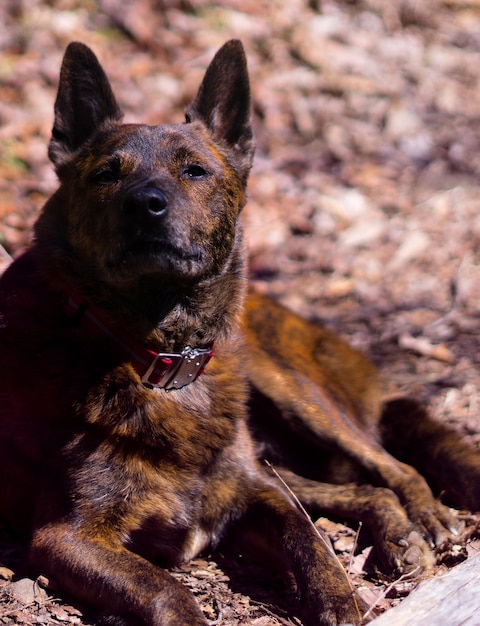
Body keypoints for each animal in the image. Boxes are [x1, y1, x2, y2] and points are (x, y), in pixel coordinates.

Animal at [0, 40, 480, 624]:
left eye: (195, 171)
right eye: (106, 176)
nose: (145, 205)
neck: (161, 359)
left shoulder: (255, 490)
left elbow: (310, 541)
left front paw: (339, 601)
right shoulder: (66, 536)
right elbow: (166, 588)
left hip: (296, 394)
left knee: (394, 468)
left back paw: (426, 520)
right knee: (361, 488)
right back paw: (399, 533)